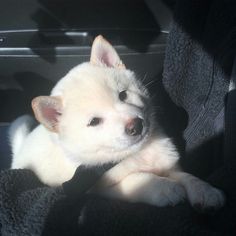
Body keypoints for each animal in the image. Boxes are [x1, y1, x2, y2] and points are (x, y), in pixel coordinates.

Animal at [9, 35, 225, 208]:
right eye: (94, 121)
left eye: (123, 95)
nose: (135, 125)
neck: (137, 153)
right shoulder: (96, 188)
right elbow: (136, 180)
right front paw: (164, 188)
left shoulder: (169, 164)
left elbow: (186, 176)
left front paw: (204, 190)